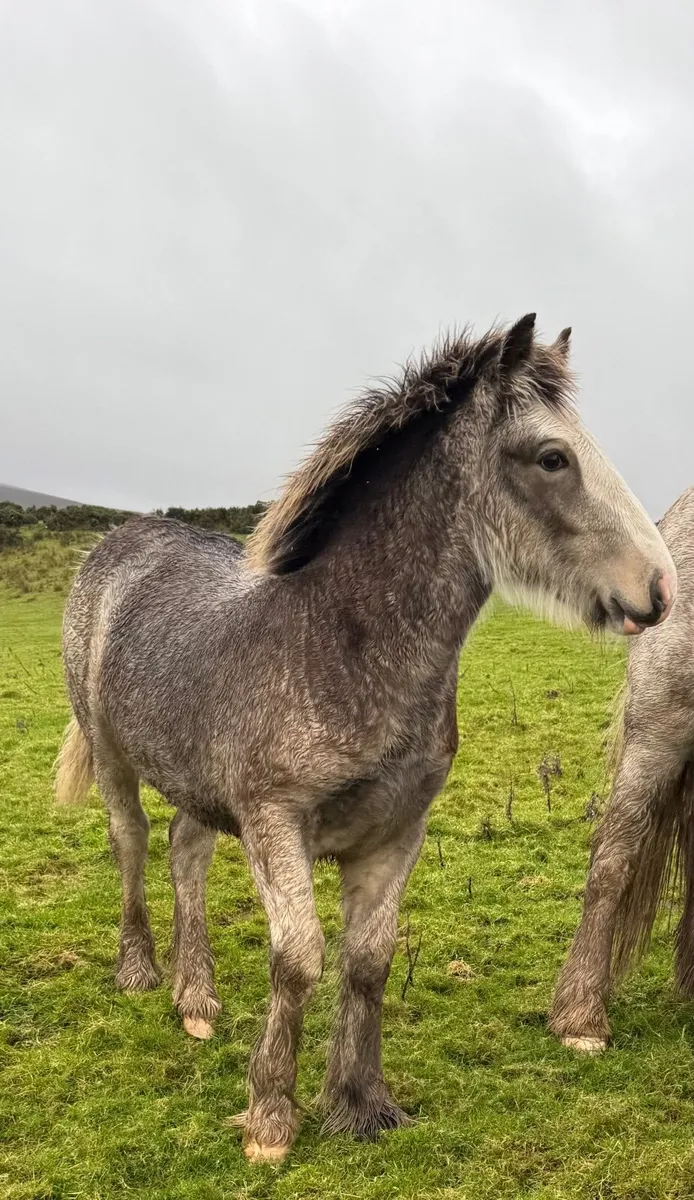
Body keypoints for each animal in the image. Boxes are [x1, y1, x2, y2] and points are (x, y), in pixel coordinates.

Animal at [55, 314, 674, 1162]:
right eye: (553, 457)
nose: (661, 587)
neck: (340, 650)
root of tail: (122, 541)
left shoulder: (395, 832)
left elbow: (368, 962)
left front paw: (360, 1104)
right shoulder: (276, 824)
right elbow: (298, 960)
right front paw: (271, 1120)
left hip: (200, 787)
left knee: (186, 854)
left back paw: (197, 999)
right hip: (115, 757)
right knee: (134, 841)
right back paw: (142, 975)